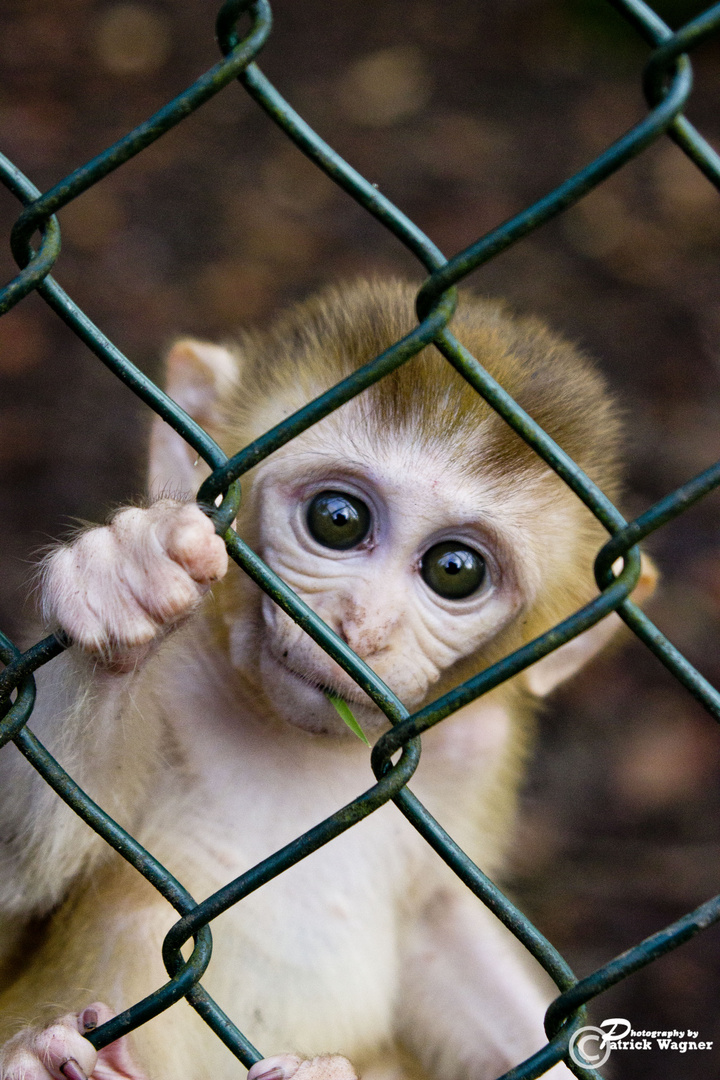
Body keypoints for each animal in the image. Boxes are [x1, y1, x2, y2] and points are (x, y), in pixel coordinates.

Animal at [0, 282, 651, 1080]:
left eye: (455, 570)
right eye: (337, 519)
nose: (362, 629)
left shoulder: (477, 746)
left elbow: (440, 933)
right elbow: (19, 881)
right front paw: (124, 583)